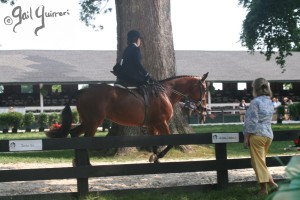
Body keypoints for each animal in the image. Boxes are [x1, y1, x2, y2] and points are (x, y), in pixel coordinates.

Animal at [46, 72, 209, 163]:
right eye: (204, 89)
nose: (205, 109)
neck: (166, 92)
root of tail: (83, 91)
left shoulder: (153, 125)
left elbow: (155, 143)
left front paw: (154, 157)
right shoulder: (161, 123)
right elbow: (169, 142)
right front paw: (160, 155)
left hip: (87, 121)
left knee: (74, 134)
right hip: (93, 122)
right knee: (85, 140)